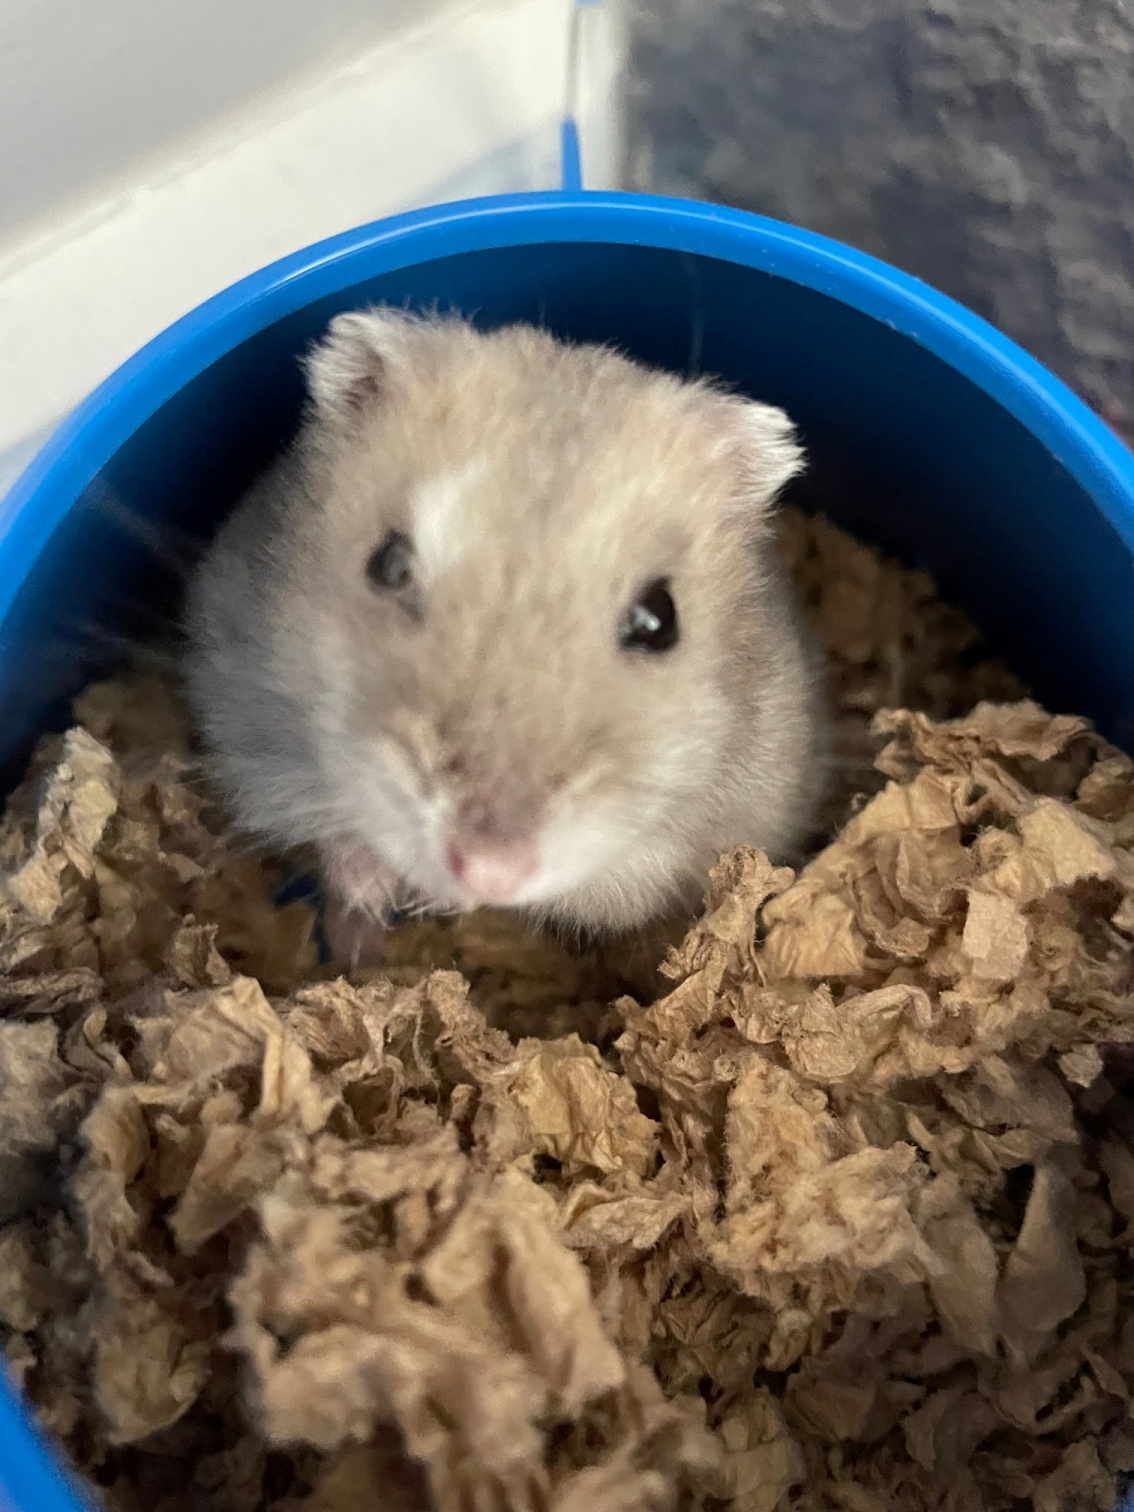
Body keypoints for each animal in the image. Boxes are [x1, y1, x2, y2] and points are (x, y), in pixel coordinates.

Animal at [183, 309, 828, 957]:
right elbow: (326, 825)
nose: (490, 870)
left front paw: (435, 897)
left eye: (659, 618)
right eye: (388, 565)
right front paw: (373, 890)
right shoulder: (248, 731)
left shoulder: (656, 857)